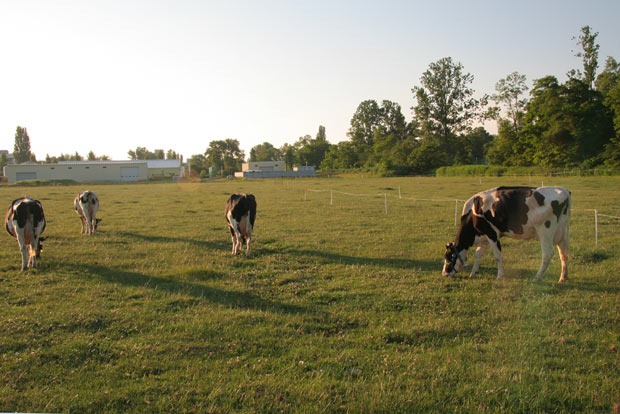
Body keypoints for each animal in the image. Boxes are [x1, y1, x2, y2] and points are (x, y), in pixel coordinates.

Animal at [440, 186, 572, 284]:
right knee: (563, 253)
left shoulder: (492, 234)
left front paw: (499, 276)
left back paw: (536, 278)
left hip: (545, 230)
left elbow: (497, 256)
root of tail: (564, 190)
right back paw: (563, 277)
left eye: (449, 257)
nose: (444, 273)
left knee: (548, 253)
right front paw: (473, 273)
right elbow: (478, 254)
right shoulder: (484, 236)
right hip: (562, 232)